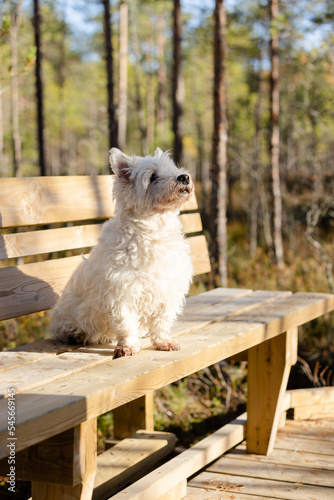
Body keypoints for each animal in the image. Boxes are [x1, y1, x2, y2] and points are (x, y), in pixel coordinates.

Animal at [51, 146, 194, 358]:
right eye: (153, 176)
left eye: (173, 169)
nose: (184, 177)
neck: (154, 230)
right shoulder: (120, 291)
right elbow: (125, 323)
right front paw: (127, 346)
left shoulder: (168, 289)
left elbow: (162, 321)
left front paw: (163, 341)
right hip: (67, 312)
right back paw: (77, 335)